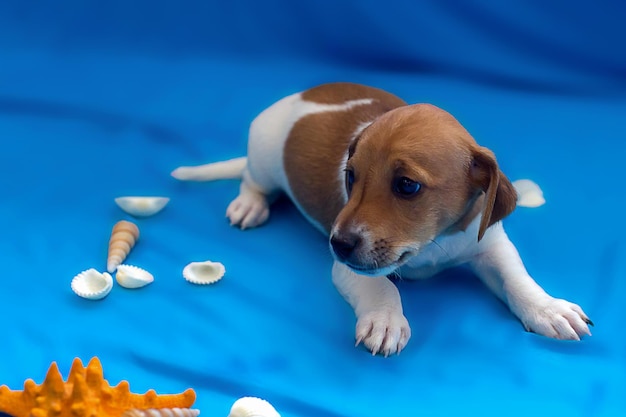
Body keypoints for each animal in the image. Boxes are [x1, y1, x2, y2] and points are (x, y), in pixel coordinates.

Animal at [171, 81, 588, 354]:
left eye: (407, 185)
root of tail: (297, 96)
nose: (336, 244)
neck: (434, 242)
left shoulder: (490, 245)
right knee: (251, 181)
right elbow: (383, 286)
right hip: (263, 160)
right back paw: (250, 204)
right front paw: (386, 320)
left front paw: (547, 308)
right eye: (351, 176)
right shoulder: (352, 267)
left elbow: (517, 279)